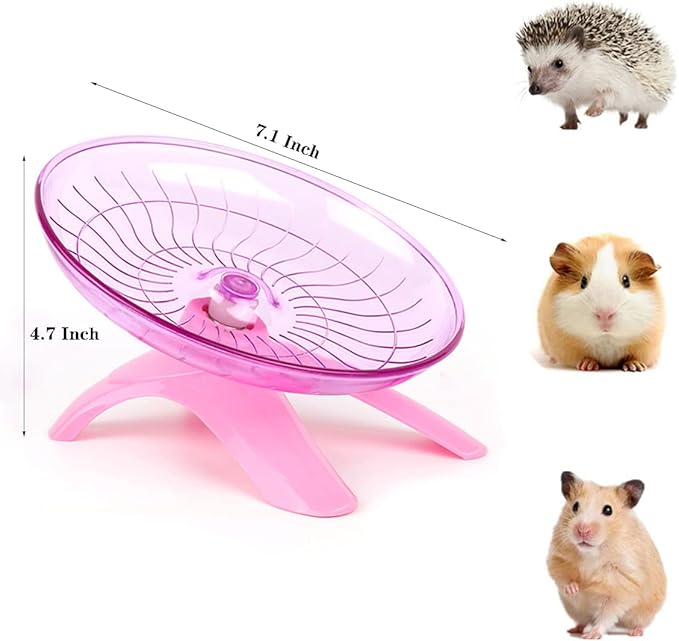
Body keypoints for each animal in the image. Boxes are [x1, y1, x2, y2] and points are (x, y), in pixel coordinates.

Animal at [538, 235, 664, 371]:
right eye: (583, 281)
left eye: (626, 281)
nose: (604, 314)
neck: (606, 338)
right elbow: (584, 358)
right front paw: (587, 366)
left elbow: (633, 357)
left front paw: (635, 367)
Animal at [548, 472, 666, 639]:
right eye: (575, 506)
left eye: (608, 510)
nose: (582, 530)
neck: (591, 552)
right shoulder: (557, 556)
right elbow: (562, 576)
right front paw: (574, 589)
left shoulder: (622, 584)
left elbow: (607, 614)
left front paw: (592, 635)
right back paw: (576, 629)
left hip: (643, 614)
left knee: (635, 624)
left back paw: (635, 632)